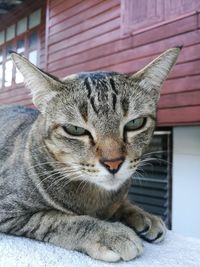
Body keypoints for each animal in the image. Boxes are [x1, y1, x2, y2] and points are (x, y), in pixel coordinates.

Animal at [0, 48, 180, 264]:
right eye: (75, 129)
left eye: (135, 123)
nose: (113, 163)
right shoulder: (8, 208)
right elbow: (54, 219)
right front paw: (109, 233)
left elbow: (121, 202)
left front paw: (143, 215)